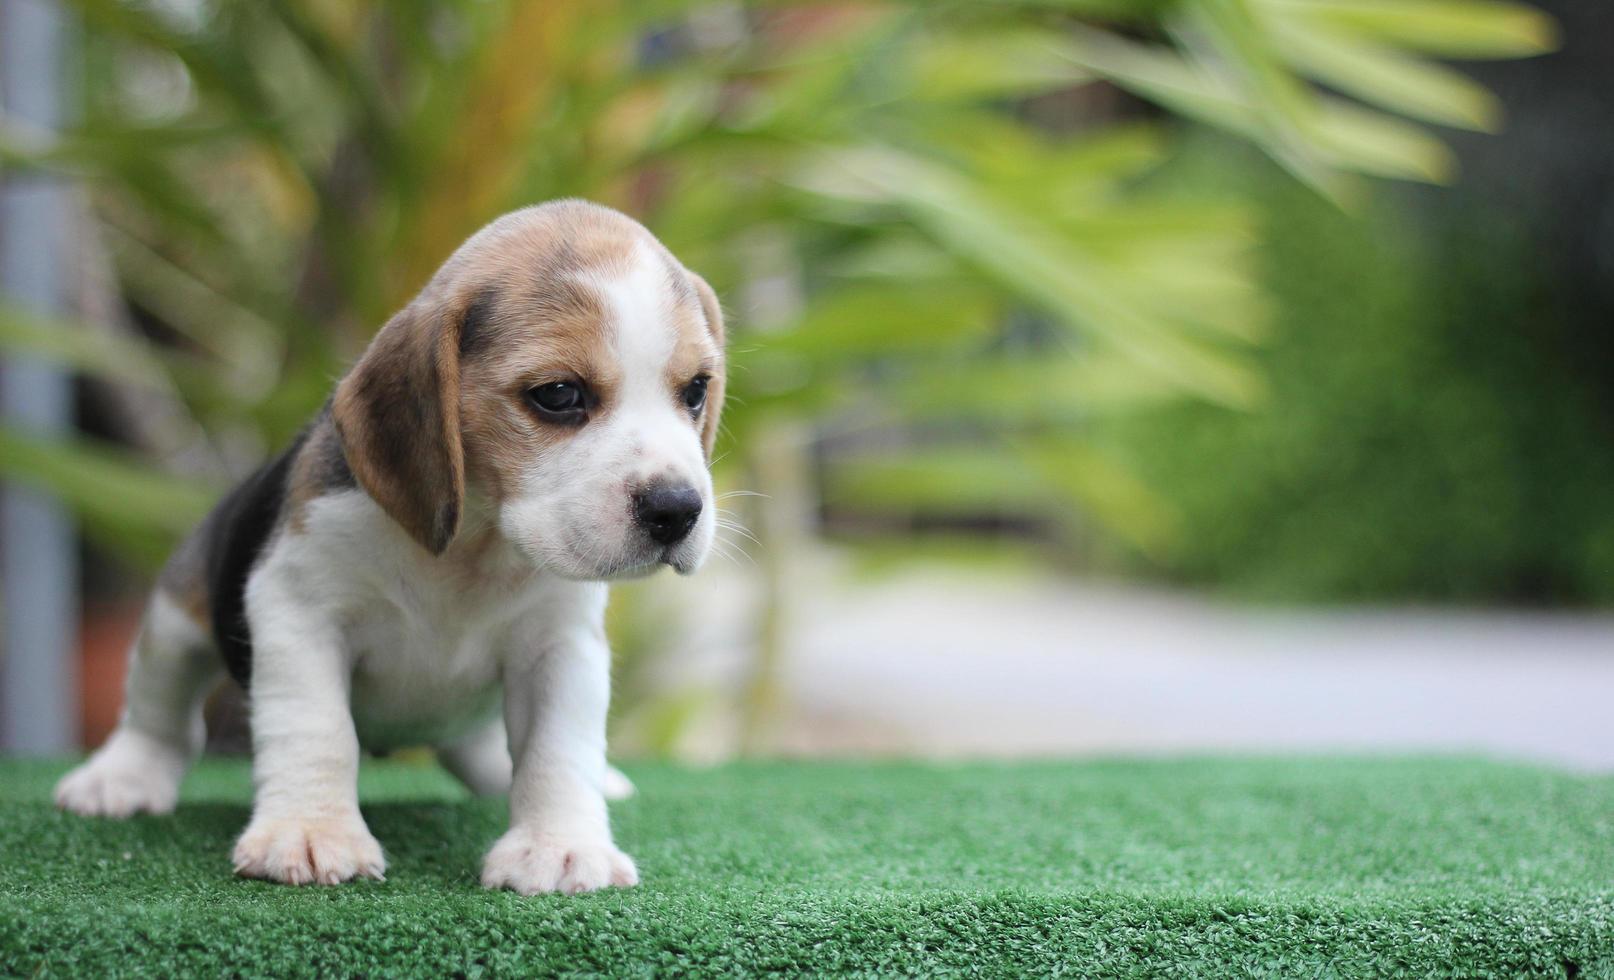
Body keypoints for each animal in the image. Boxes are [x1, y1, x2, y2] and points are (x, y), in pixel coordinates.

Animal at [53, 201, 729, 897]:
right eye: (559, 394)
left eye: (696, 390)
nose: (678, 509)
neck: (472, 549)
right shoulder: (299, 611)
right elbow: (318, 728)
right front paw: (311, 832)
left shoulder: (560, 646)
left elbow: (556, 749)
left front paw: (560, 846)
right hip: (174, 623)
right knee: (158, 714)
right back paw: (120, 780)